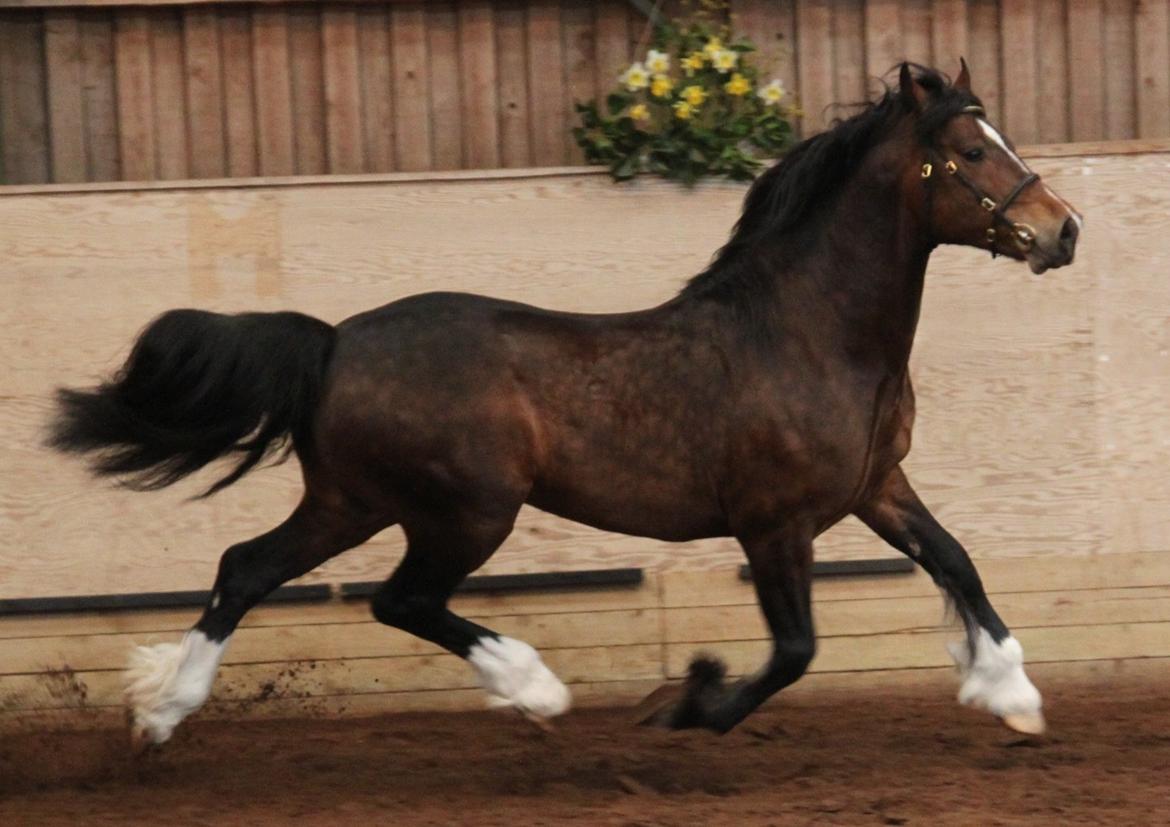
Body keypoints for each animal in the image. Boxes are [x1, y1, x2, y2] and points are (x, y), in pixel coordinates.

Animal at [52, 63, 1076, 743]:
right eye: (970, 149)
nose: (1062, 230)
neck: (810, 333)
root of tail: (334, 340)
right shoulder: (773, 522)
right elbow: (795, 649)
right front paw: (690, 701)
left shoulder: (877, 486)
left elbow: (958, 562)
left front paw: (1012, 693)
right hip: (465, 510)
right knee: (400, 598)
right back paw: (534, 687)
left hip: (354, 500)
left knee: (246, 568)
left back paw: (162, 710)